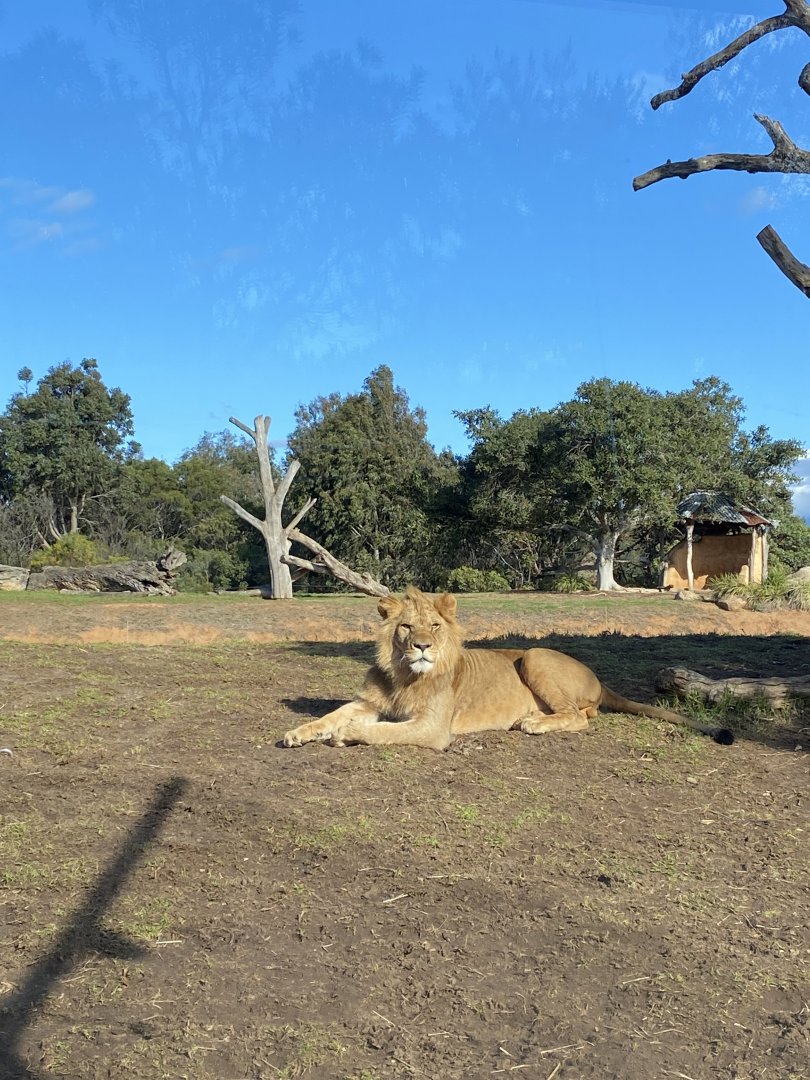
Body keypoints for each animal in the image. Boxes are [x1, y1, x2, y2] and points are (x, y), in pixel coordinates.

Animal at [283, 586, 734, 750]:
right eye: (407, 627)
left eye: (435, 626)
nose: (422, 646)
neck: (405, 675)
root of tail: (599, 679)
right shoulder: (368, 702)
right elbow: (333, 713)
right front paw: (299, 733)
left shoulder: (433, 729)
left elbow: (382, 732)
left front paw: (344, 735)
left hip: (533, 655)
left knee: (580, 716)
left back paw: (533, 722)